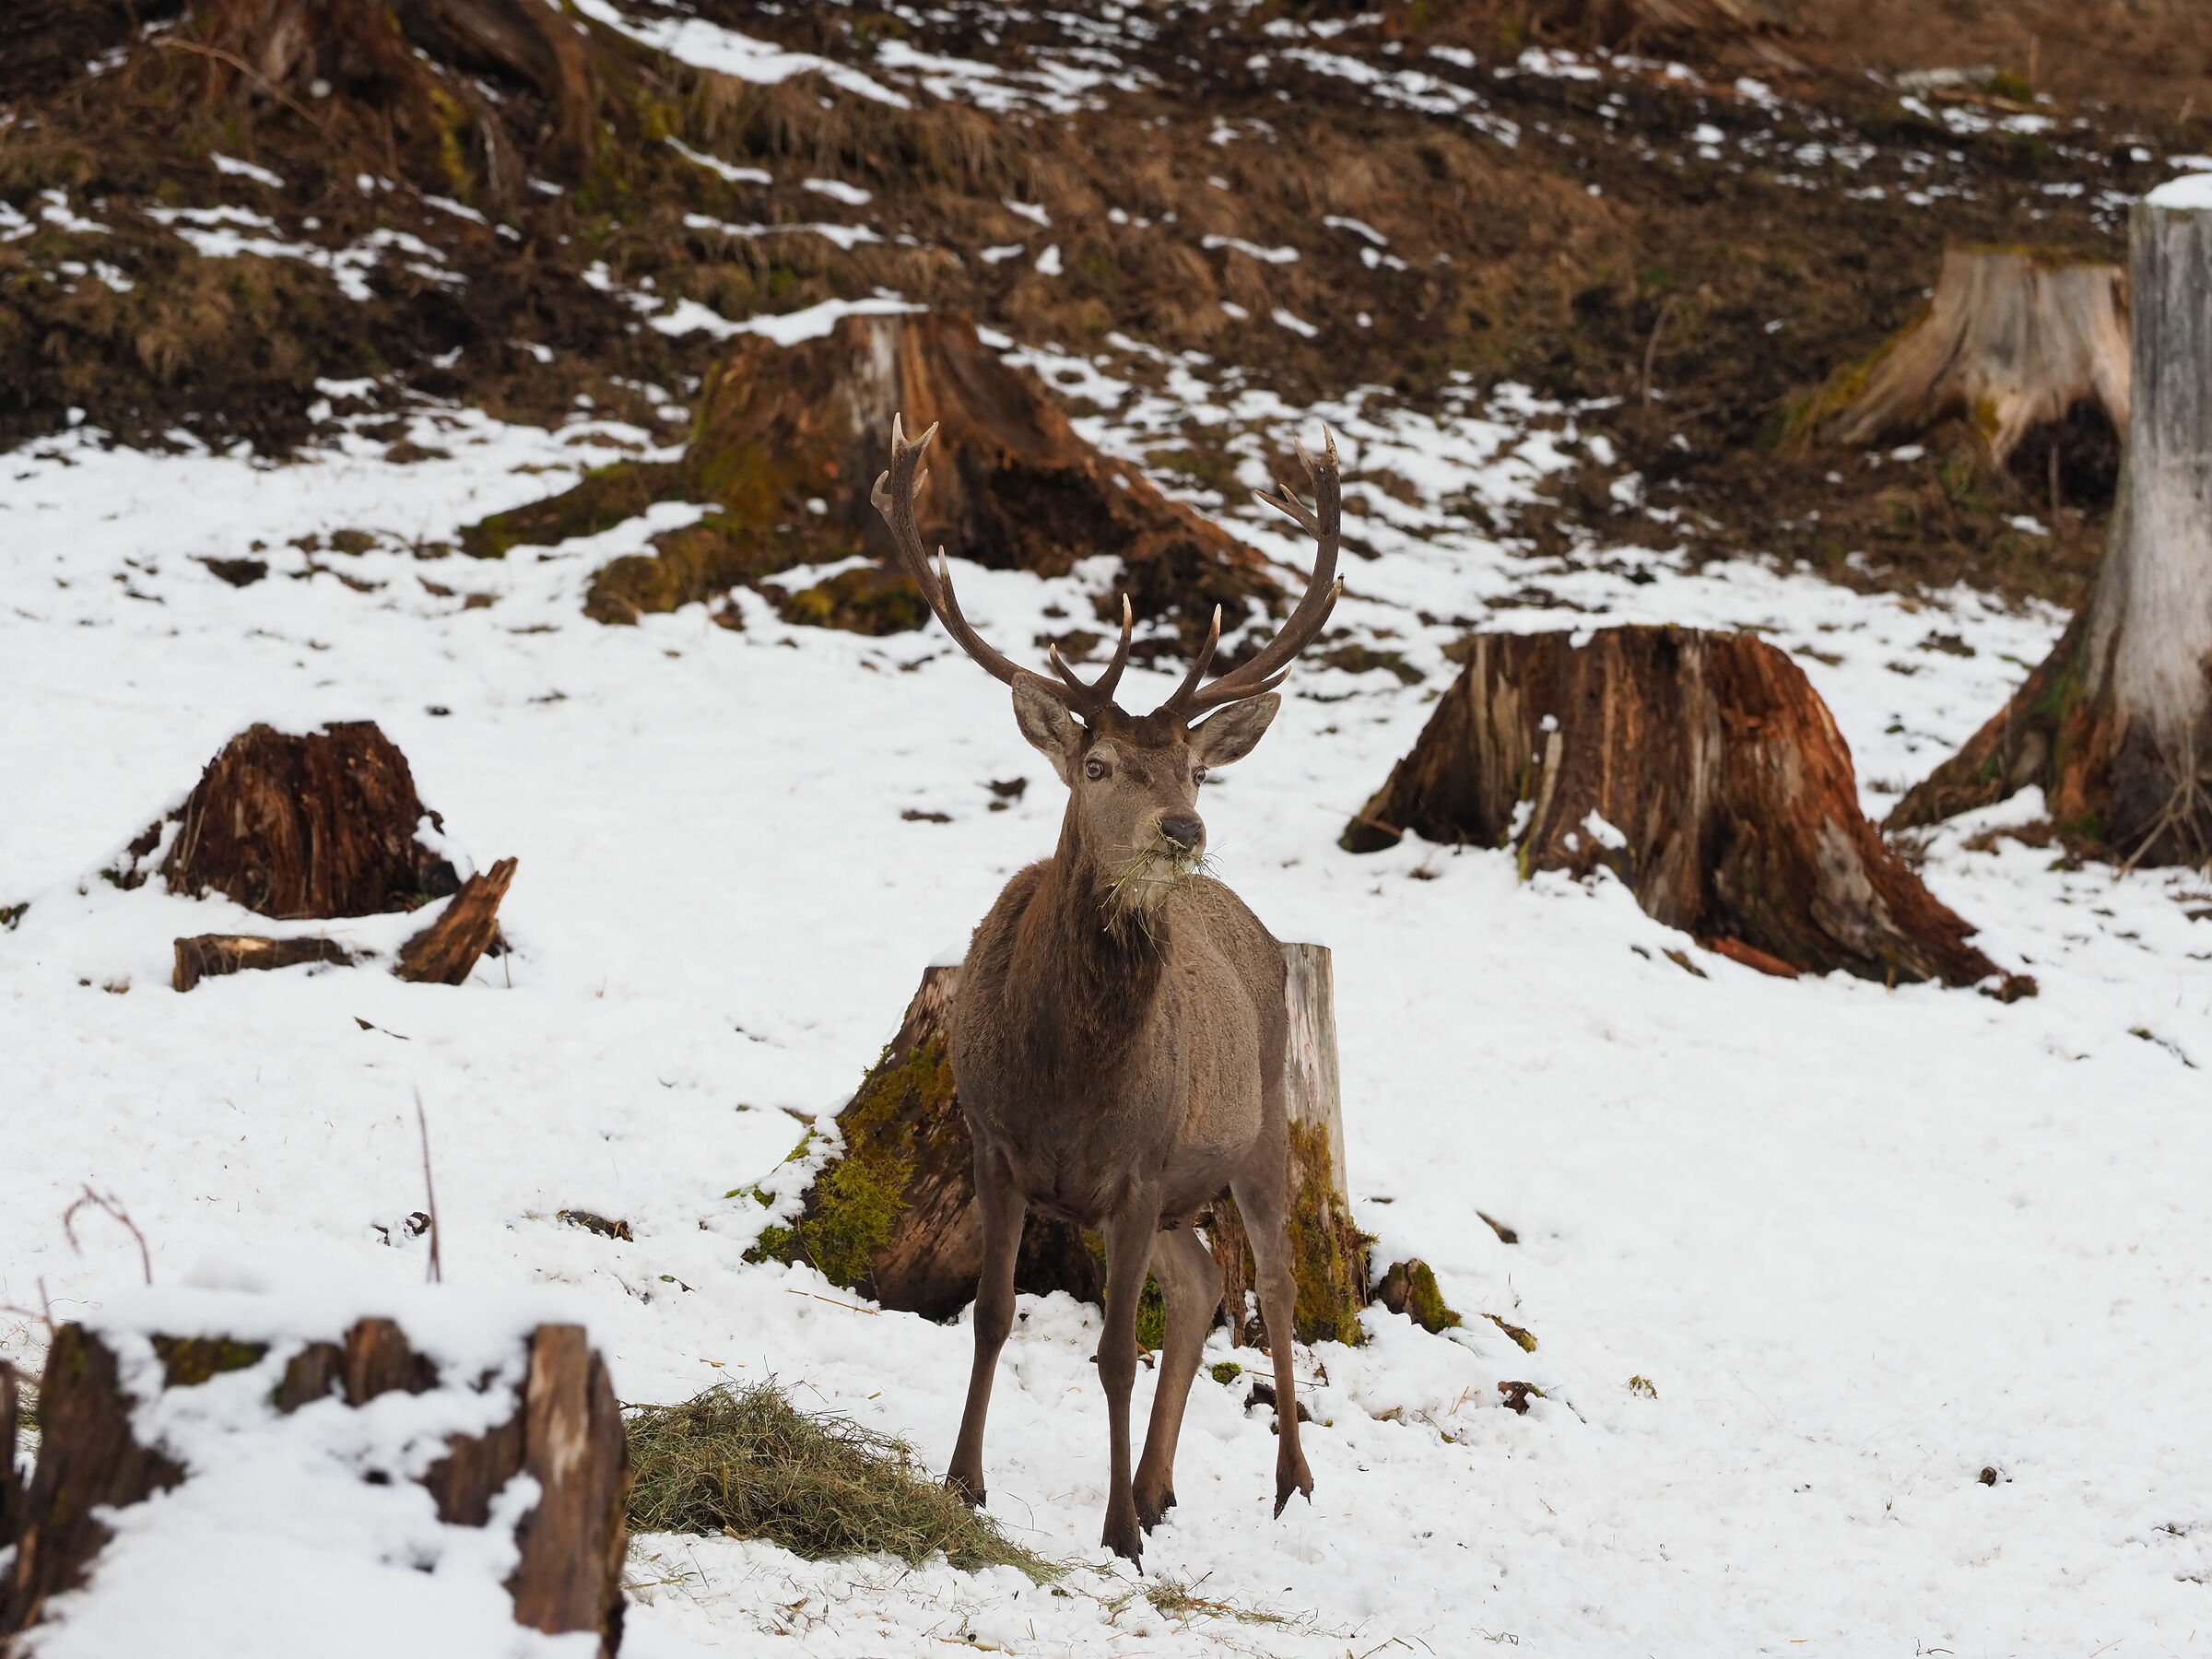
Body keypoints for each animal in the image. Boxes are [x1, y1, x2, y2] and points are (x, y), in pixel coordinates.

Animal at [869, 415, 1345, 1565]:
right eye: (1097, 768)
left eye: (1196, 770)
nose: (1184, 829)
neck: (1069, 1076)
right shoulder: (997, 1145)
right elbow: (992, 1315)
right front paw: (964, 1482)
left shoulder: (1135, 1168)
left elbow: (1116, 1352)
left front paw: (1118, 1531)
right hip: (1174, 1187)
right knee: (1203, 1282)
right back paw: (1164, 1484)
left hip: (1258, 1132)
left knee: (1274, 1284)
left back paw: (1288, 1481)